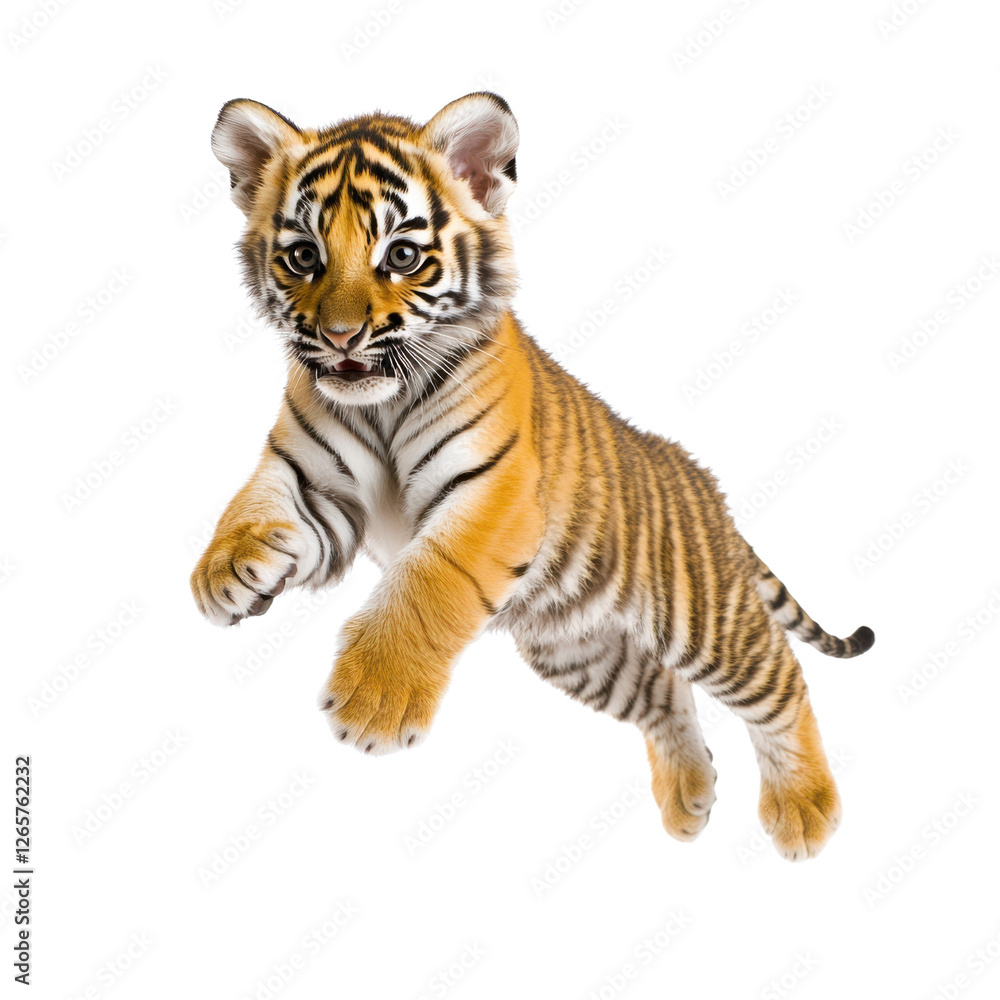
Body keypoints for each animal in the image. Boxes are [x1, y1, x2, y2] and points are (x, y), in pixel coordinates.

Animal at [191, 92, 874, 861]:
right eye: (303, 255)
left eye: (402, 256)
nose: (339, 338)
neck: (383, 402)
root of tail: (707, 489)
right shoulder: (317, 486)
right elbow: (256, 503)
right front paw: (225, 571)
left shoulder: (495, 493)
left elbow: (427, 581)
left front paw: (376, 697)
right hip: (577, 647)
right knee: (663, 693)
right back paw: (690, 800)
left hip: (703, 617)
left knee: (782, 678)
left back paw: (805, 811)